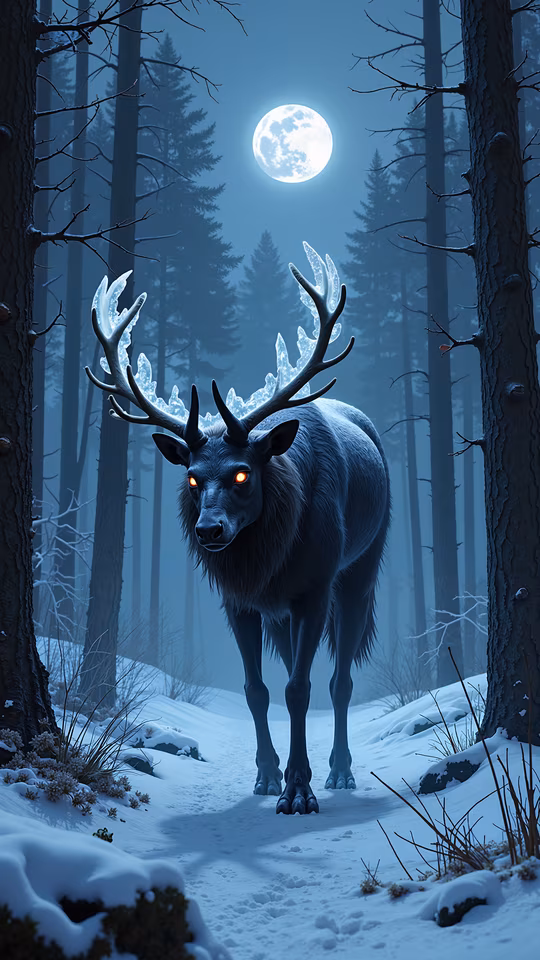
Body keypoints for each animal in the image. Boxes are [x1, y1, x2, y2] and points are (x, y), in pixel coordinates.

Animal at [86, 245, 390, 815]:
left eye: (243, 473)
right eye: (191, 476)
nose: (209, 529)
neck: (269, 561)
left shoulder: (315, 588)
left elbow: (300, 688)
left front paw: (299, 791)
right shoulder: (239, 600)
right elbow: (259, 690)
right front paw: (268, 777)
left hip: (362, 567)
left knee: (339, 678)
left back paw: (340, 771)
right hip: (285, 609)